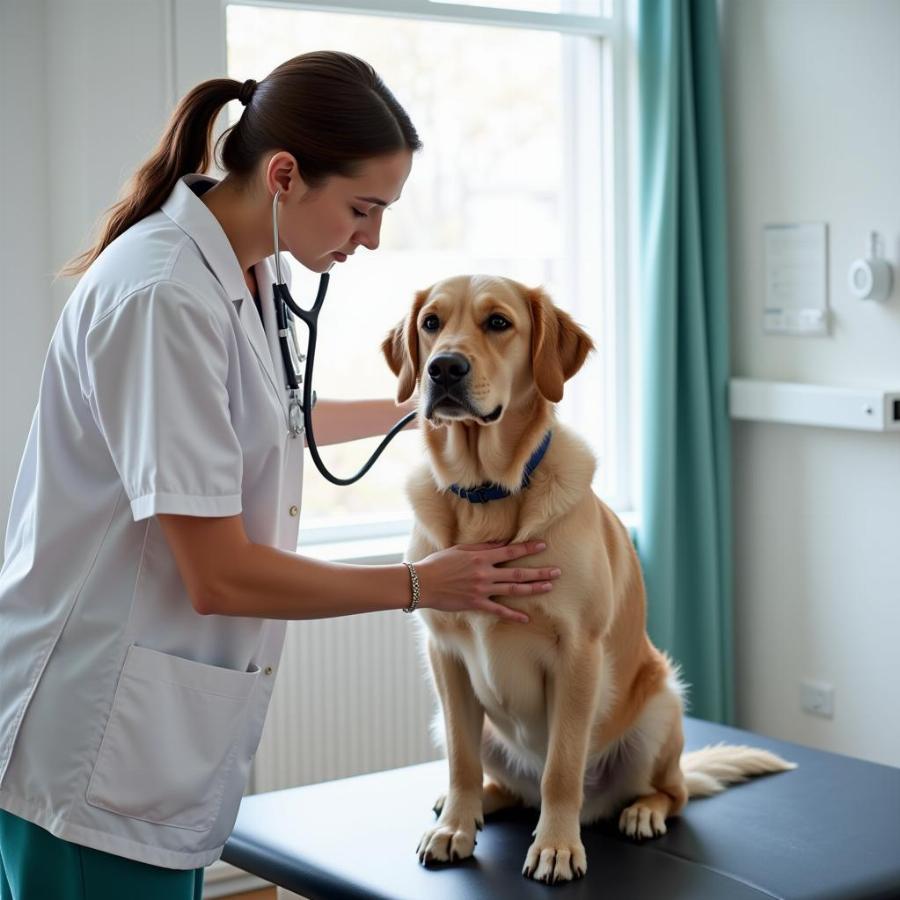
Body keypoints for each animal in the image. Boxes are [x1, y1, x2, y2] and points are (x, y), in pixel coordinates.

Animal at [380, 276, 796, 884]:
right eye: (431, 323)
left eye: (498, 323)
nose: (444, 368)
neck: (487, 495)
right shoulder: (445, 656)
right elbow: (461, 760)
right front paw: (454, 827)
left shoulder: (578, 652)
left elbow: (562, 767)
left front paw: (556, 847)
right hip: (459, 719)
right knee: (502, 780)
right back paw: (476, 803)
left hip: (661, 704)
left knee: (668, 792)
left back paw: (641, 811)